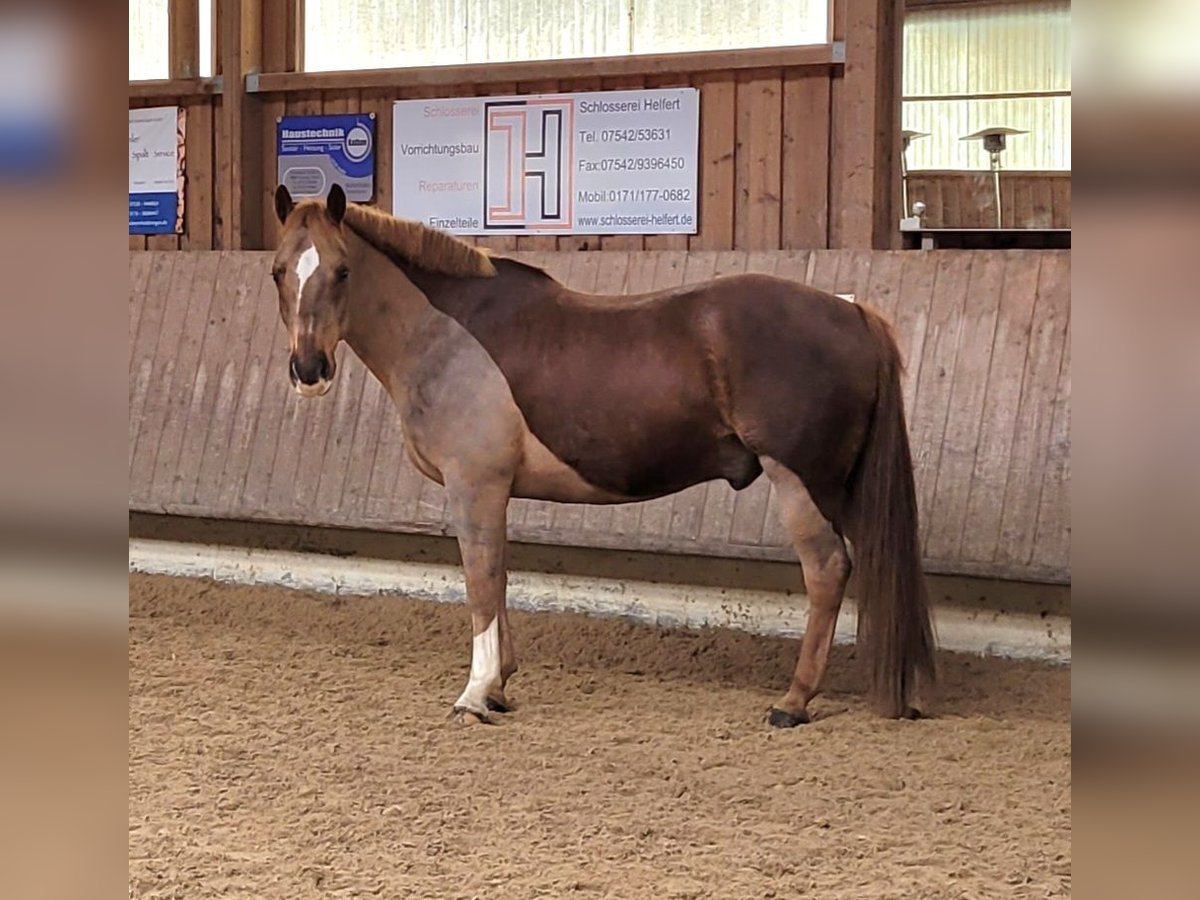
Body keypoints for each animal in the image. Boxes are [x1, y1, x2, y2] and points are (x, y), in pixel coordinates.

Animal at [272, 187, 936, 729]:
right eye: (280, 271)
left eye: (342, 269)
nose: (309, 369)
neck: (449, 334)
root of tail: (850, 310)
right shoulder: (493, 492)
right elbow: (500, 574)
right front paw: (500, 687)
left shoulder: (474, 485)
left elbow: (481, 579)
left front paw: (476, 693)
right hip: (841, 488)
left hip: (800, 480)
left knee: (827, 569)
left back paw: (793, 702)